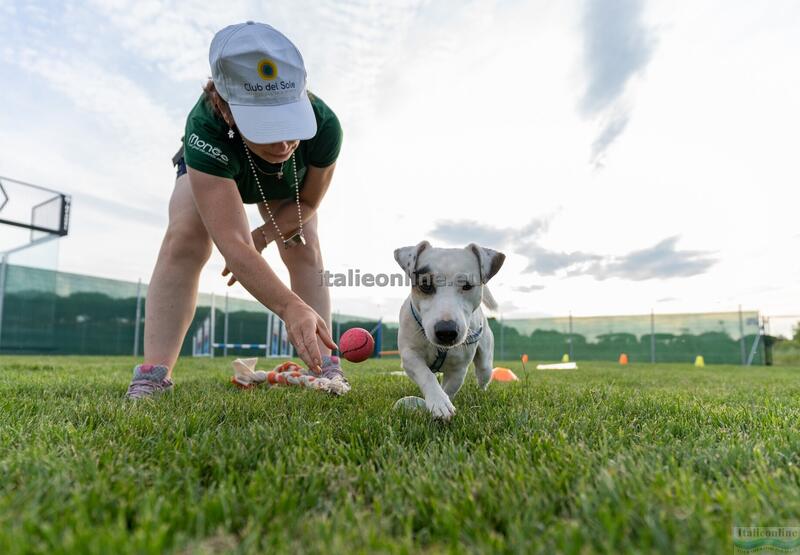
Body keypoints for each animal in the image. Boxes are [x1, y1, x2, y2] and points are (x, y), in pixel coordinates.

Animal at [394, 241, 506, 420]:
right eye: (425, 285)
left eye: (467, 286)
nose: (446, 331)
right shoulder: (409, 355)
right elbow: (426, 374)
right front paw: (438, 401)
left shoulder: (458, 369)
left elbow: (449, 388)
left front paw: (442, 403)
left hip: (486, 362)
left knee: (483, 374)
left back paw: (482, 393)